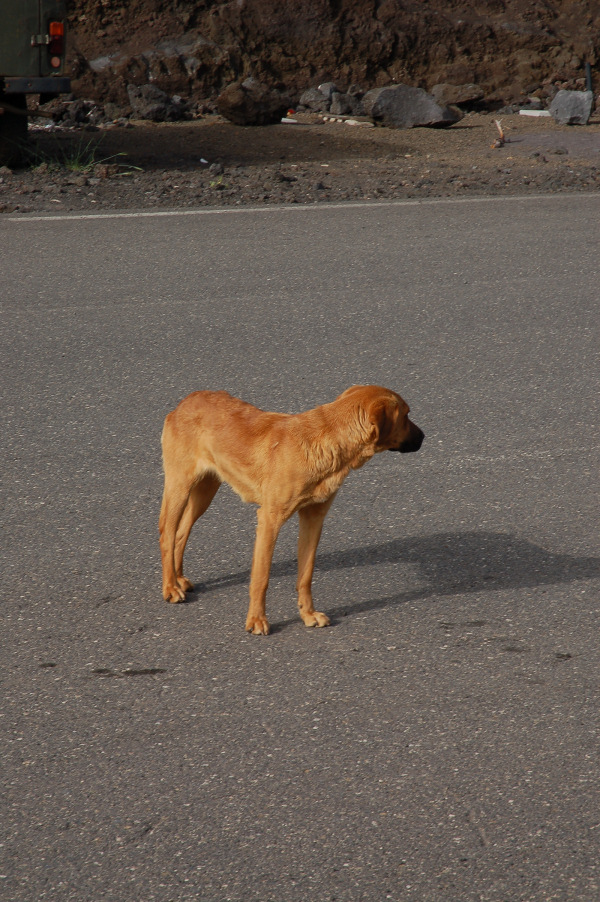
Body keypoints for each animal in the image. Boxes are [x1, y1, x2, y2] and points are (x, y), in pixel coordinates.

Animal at [158, 384, 422, 636]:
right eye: (406, 415)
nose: (424, 437)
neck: (325, 440)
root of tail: (186, 401)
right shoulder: (269, 520)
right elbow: (261, 578)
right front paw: (257, 620)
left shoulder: (313, 518)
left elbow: (306, 575)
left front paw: (308, 614)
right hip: (179, 486)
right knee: (167, 534)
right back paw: (170, 587)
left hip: (205, 491)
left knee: (181, 533)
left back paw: (179, 579)